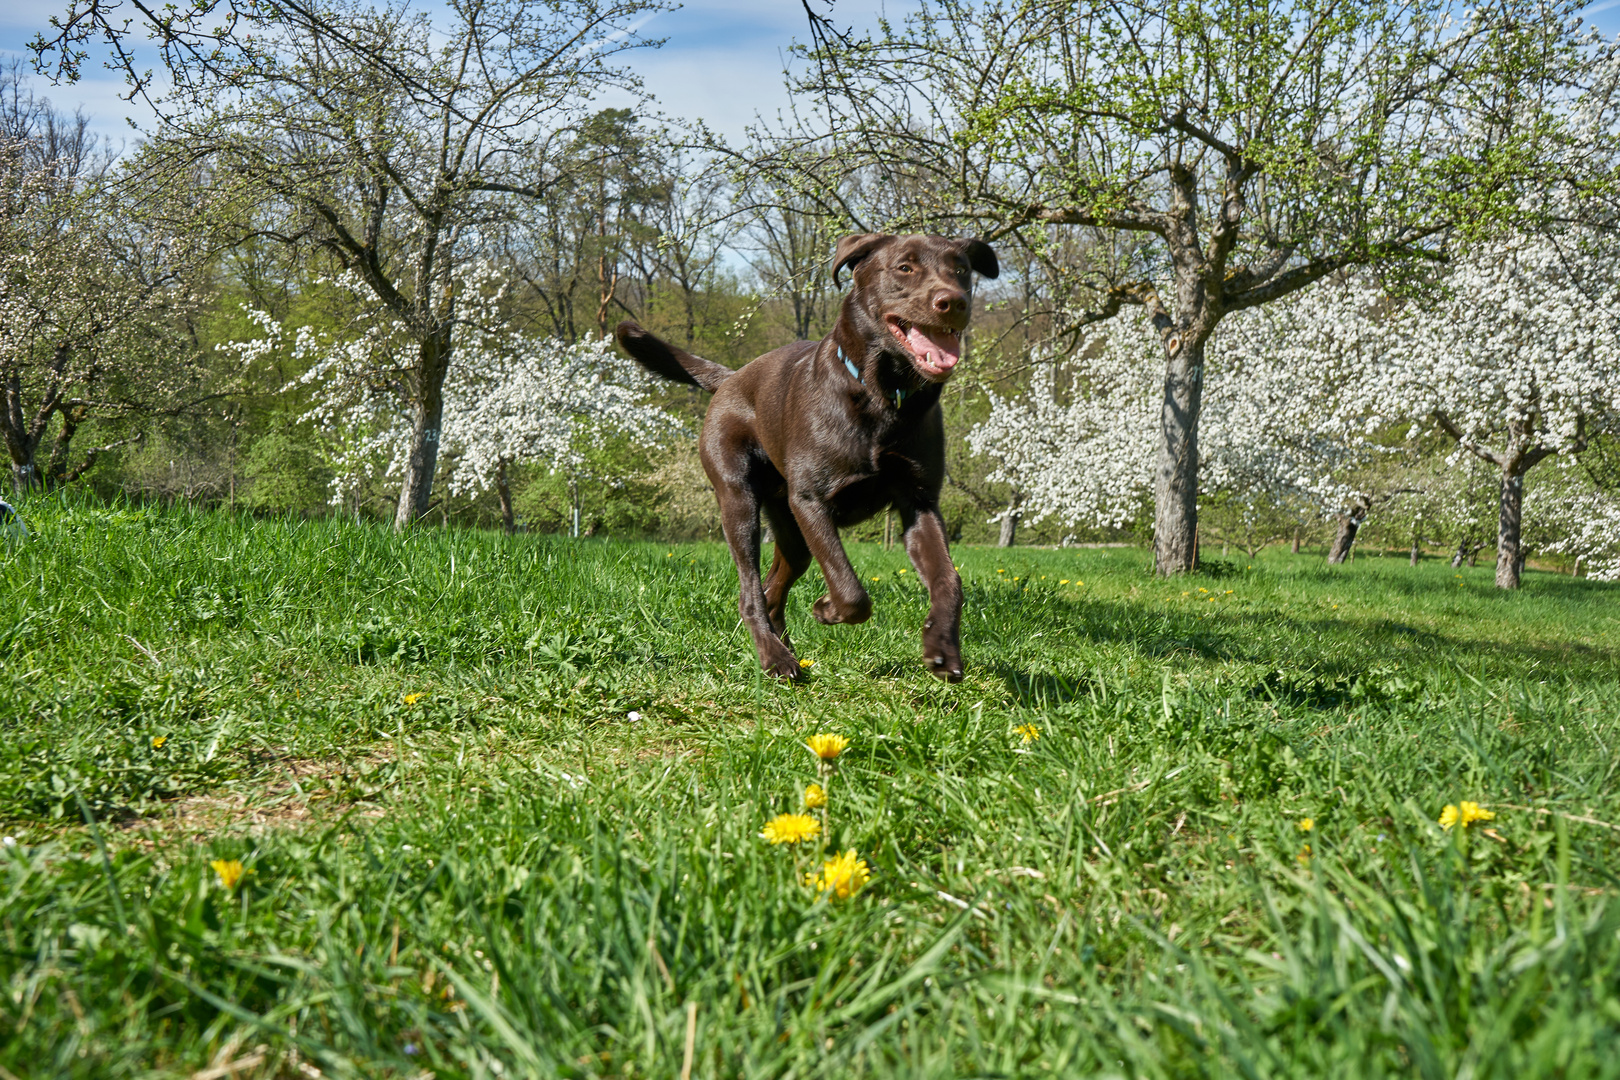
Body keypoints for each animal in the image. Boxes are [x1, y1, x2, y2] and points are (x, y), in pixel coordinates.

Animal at [615, 233, 991, 680]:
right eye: (904, 267)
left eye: (962, 269)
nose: (954, 301)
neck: (882, 394)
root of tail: (732, 377)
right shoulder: (811, 500)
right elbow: (850, 590)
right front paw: (827, 609)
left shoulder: (919, 501)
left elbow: (949, 579)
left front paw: (942, 649)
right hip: (739, 501)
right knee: (751, 592)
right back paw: (775, 658)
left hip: (791, 531)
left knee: (773, 587)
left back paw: (785, 647)